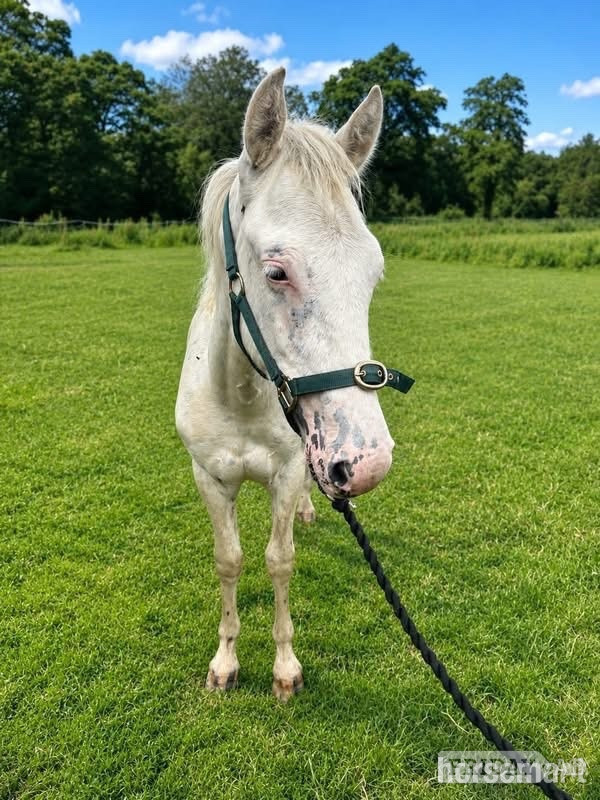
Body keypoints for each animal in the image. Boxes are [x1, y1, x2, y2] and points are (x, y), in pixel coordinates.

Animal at [175, 68, 396, 701]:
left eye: (374, 272)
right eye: (276, 272)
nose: (366, 463)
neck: (243, 398)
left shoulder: (293, 466)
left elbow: (279, 560)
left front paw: (284, 668)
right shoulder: (208, 477)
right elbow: (229, 560)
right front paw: (225, 662)